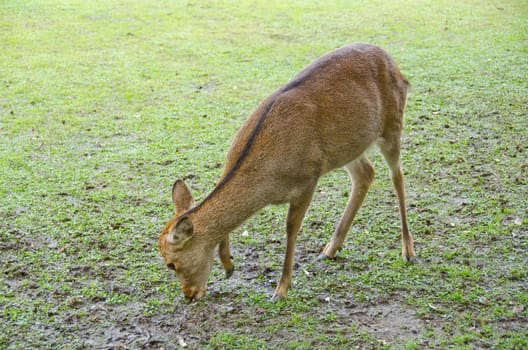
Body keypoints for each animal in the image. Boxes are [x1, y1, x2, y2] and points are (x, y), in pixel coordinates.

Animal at [159, 43, 414, 300]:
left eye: (172, 264)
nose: (189, 295)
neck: (269, 181)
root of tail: (396, 67)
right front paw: (229, 266)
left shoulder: (308, 178)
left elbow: (291, 229)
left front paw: (281, 290)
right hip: (349, 147)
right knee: (366, 174)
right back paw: (330, 249)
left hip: (393, 124)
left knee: (397, 177)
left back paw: (408, 251)